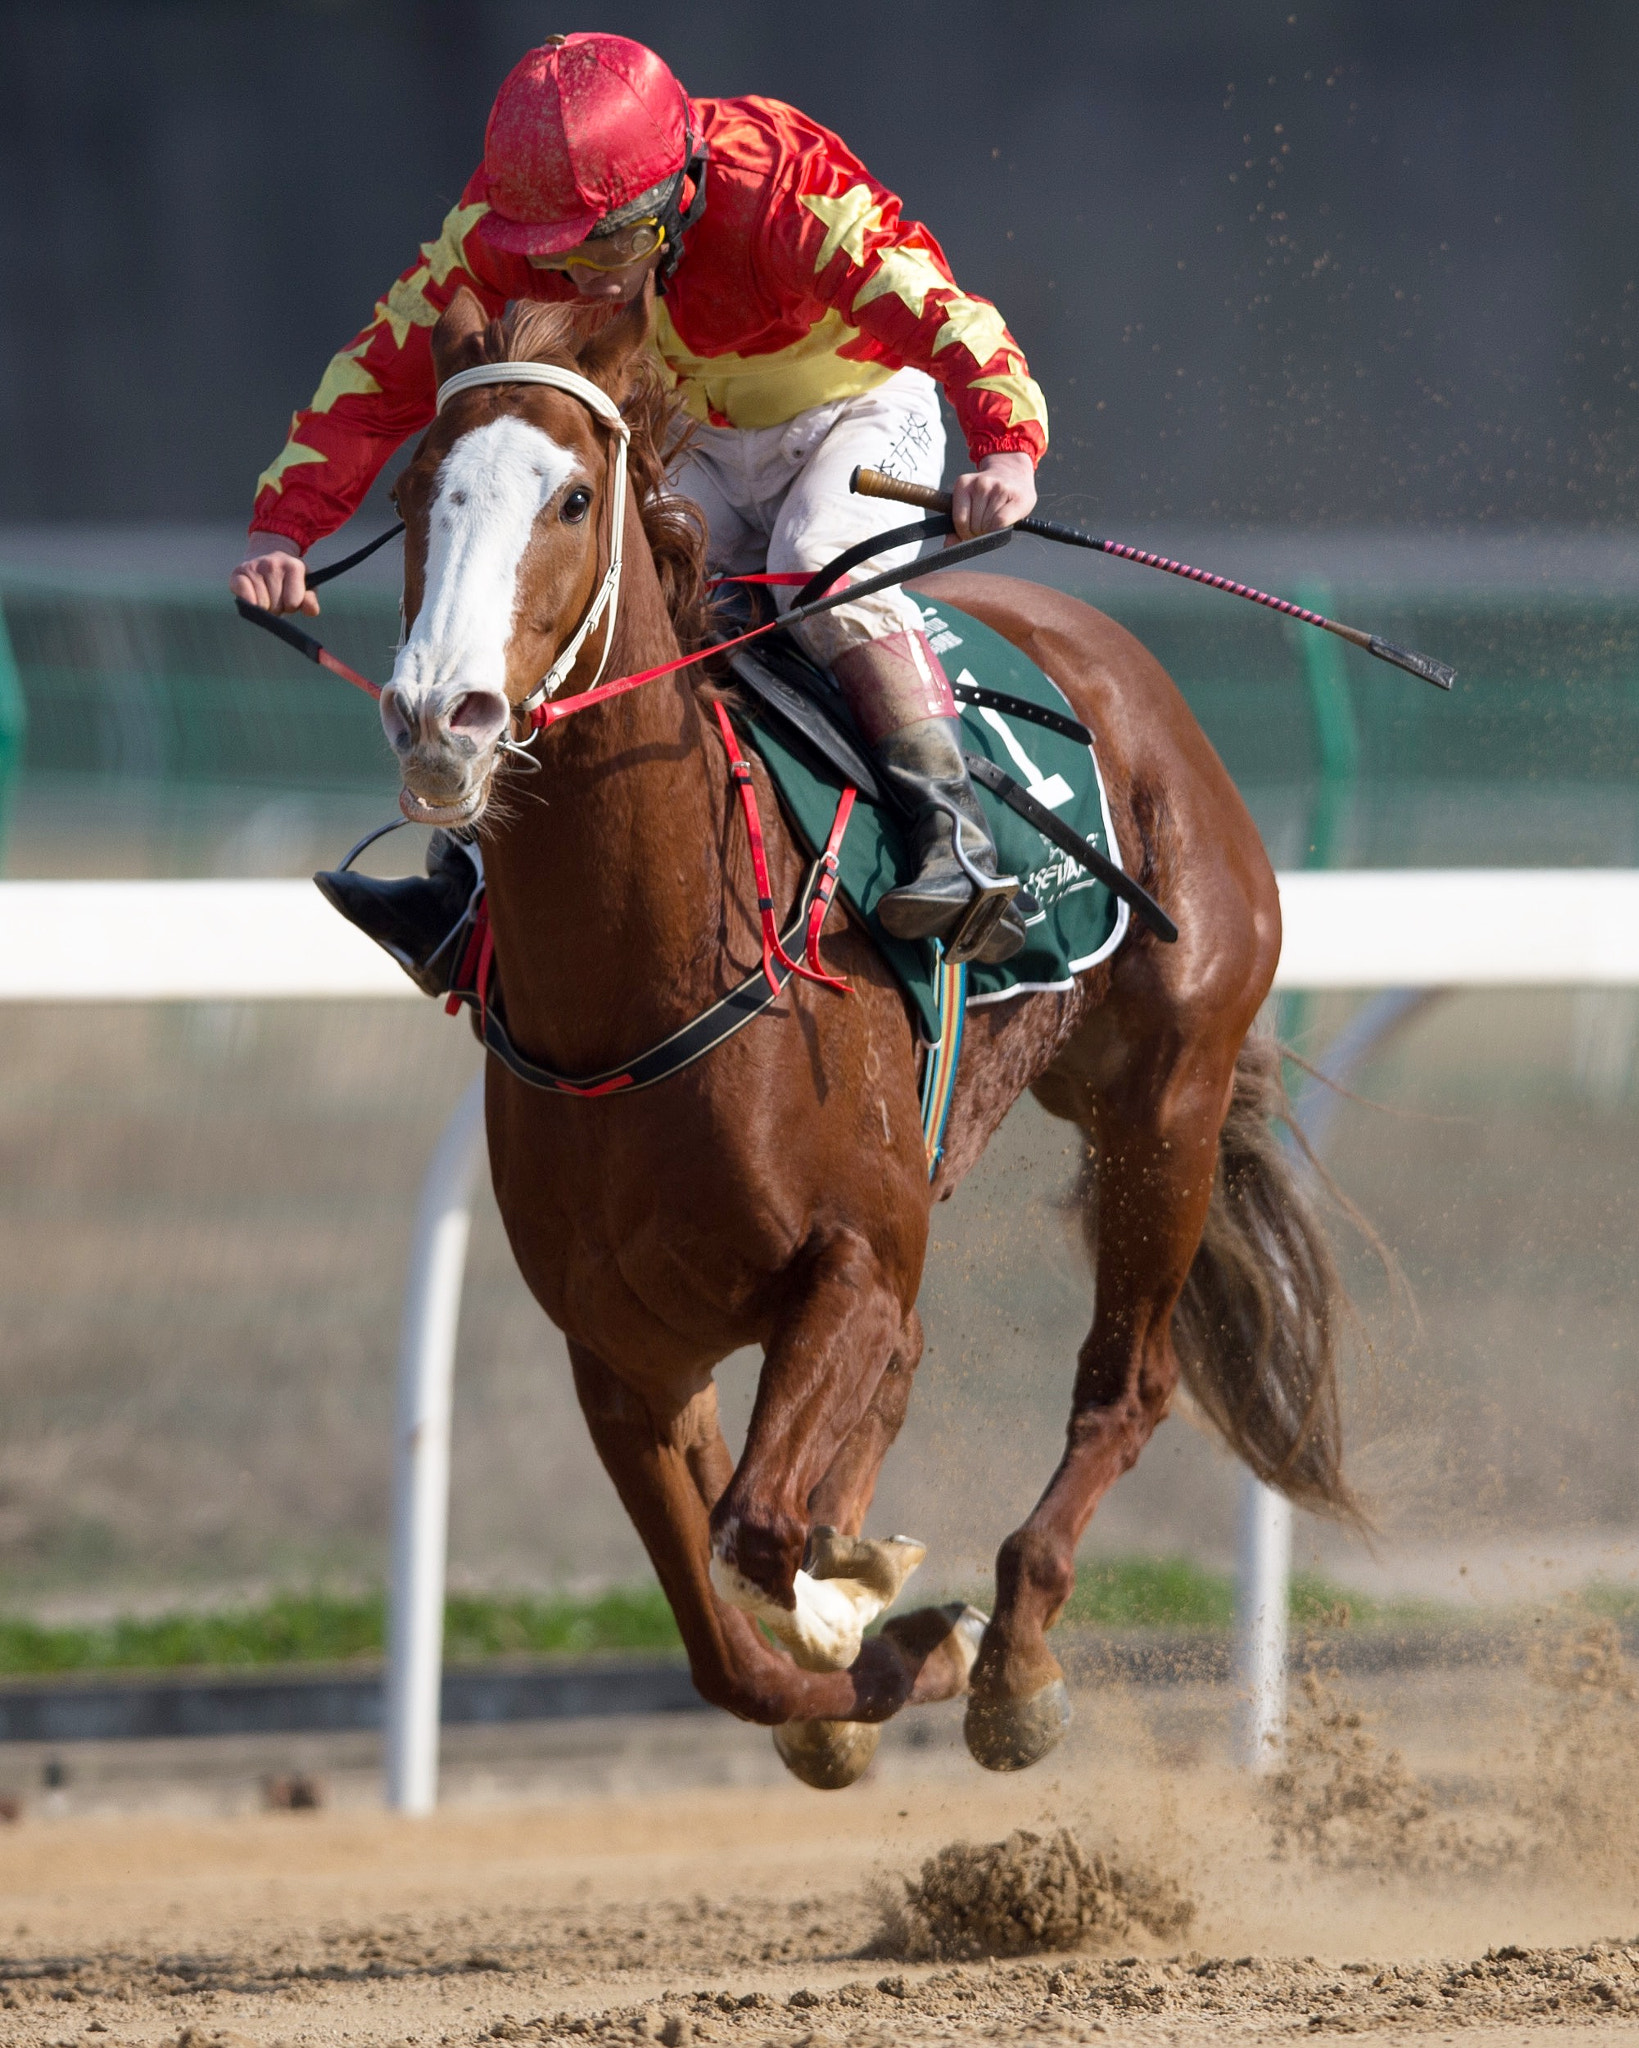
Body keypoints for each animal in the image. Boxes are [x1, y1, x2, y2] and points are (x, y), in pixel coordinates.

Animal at [378, 282, 1356, 1788]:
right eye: (416, 489)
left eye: (571, 497)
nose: (443, 714)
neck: (642, 982)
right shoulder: (624, 1355)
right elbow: (726, 1641)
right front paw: (854, 1662)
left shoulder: (850, 1256)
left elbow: (763, 1529)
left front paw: (900, 1616)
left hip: (1165, 1102)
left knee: (1124, 1385)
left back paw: (1013, 1658)